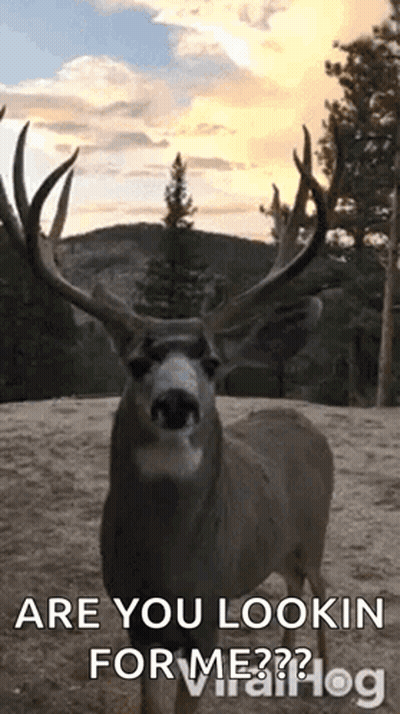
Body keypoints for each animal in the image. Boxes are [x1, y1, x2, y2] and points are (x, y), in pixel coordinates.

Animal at [0, 107, 334, 714]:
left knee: (321, 585)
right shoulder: (136, 620)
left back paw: (322, 673)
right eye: (136, 362)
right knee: (294, 586)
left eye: (212, 362)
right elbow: (150, 704)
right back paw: (284, 665)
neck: (169, 572)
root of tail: (304, 423)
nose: (176, 401)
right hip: (280, 545)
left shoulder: (207, 619)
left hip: (315, 529)